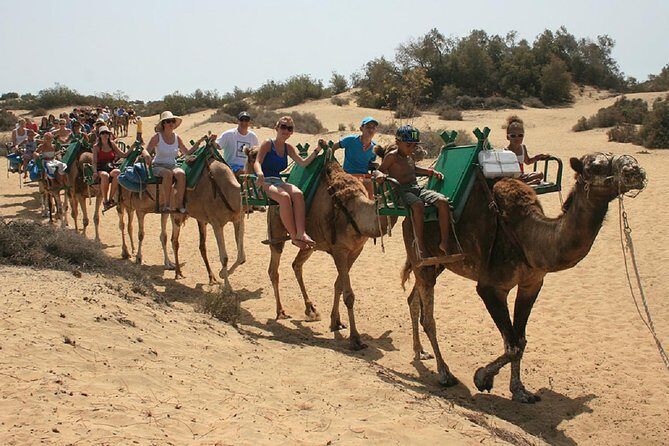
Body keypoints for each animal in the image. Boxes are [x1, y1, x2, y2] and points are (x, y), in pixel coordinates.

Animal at [399, 152, 646, 402]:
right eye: (595, 167)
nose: (636, 172)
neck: (528, 238)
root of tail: (407, 216)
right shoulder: (491, 287)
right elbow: (512, 345)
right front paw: (482, 377)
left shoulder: (532, 283)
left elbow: (520, 340)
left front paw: (519, 390)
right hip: (420, 255)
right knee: (428, 317)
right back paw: (444, 373)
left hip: (437, 262)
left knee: (413, 300)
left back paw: (420, 351)